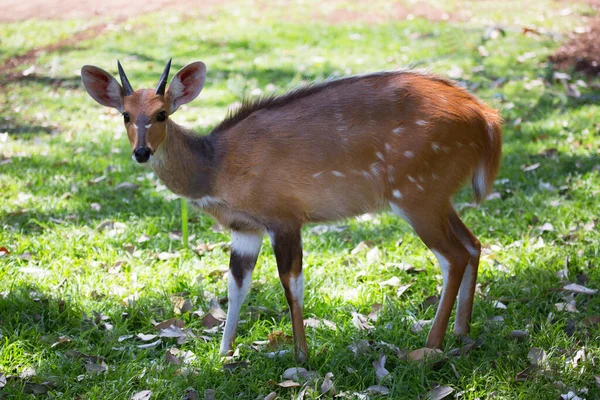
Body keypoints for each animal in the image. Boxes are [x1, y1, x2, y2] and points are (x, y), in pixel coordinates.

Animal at [79, 59, 502, 362]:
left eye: (162, 113)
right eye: (125, 115)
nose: (142, 152)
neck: (214, 168)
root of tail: (487, 120)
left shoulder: (283, 218)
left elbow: (291, 283)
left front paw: (300, 354)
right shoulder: (245, 229)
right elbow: (236, 286)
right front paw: (223, 353)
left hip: (417, 195)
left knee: (453, 256)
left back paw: (430, 345)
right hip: (437, 197)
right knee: (473, 243)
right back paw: (462, 331)